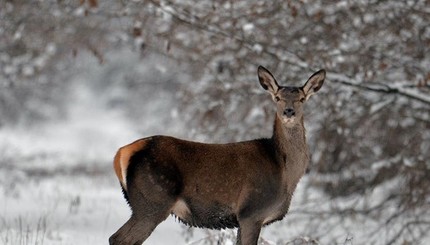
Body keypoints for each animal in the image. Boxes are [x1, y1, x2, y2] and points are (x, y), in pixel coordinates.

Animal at [109, 65, 324, 245]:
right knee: (119, 239)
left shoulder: (243, 218)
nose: (289, 112)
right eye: (277, 98)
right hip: (153, 200)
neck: (285, 172)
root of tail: (122, 153)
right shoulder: (251, 211)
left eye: (302, 99)